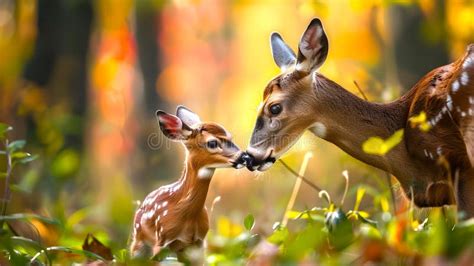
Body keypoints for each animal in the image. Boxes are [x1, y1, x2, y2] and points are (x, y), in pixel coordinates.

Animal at [131, 105, 246, 260]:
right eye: (212, 143)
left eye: (230, 137)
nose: (244, 157)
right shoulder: (162, 239)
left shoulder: (199, 241)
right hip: (139, 241)